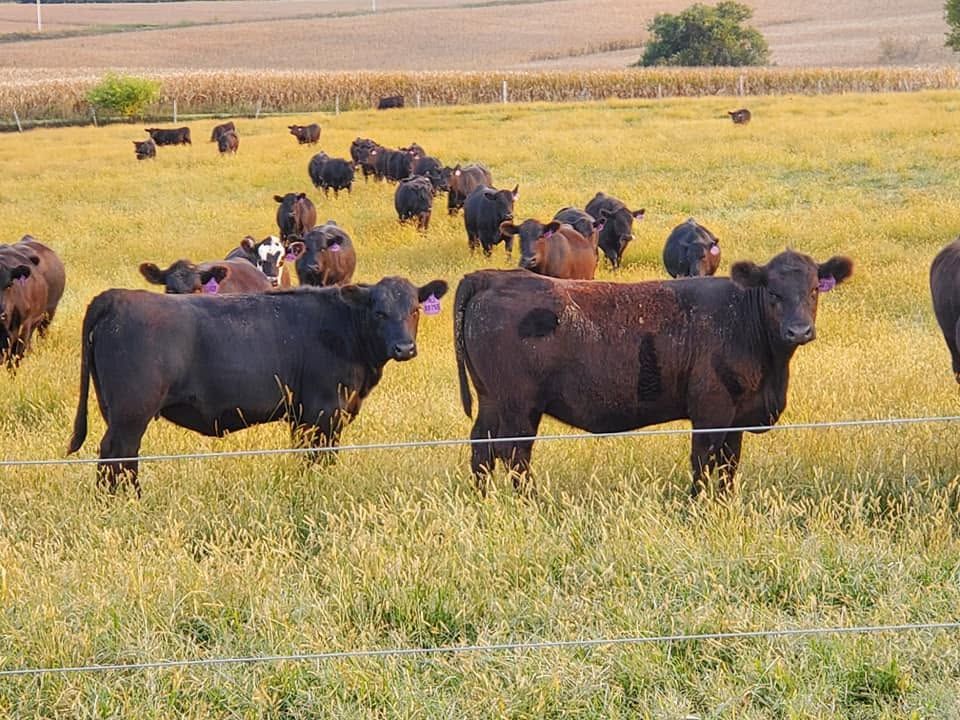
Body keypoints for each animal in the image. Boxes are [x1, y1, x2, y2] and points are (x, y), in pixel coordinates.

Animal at [0, 236, 66, 366]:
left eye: (9, 285)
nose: (2, 313)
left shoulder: (24, 326)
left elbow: (15, 357)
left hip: (48, 313)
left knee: (41, 334)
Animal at [67, 276, 449, 493]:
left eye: (414, 309)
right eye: (378, 312)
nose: (404, 348)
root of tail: (116, 297)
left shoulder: (302, 416)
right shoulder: (324, 412)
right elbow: (320, 457)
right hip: (131, 415)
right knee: (117, 456)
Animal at [454, 250, 854, 496]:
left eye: (814, 289)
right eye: (773, 293)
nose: (798, 330)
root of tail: (492, 278)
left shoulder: (737, 418)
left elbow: (728, 465)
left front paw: (724, 503)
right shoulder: (711, 412)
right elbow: (703, 461)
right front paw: (697, 505)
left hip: (491, 401)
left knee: (482, 449)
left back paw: (483, 499)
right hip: (518, 407)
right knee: (513, 453)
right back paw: (532, 502)